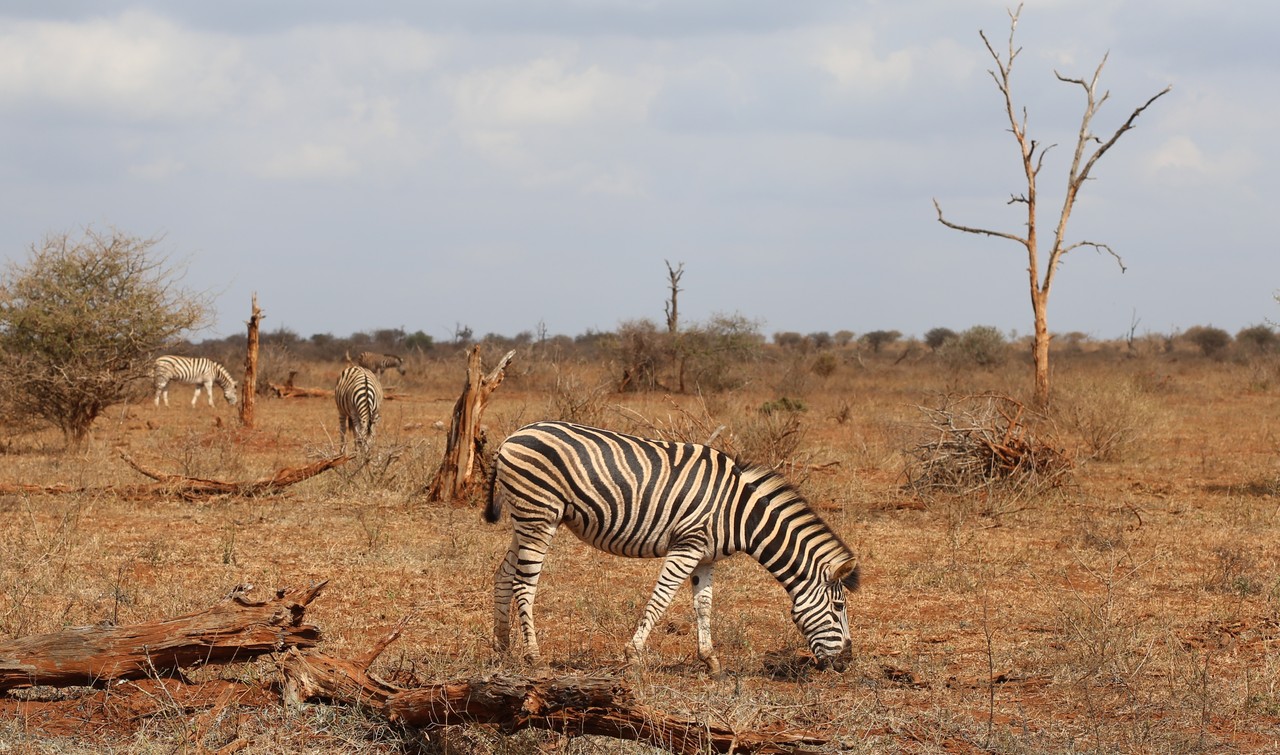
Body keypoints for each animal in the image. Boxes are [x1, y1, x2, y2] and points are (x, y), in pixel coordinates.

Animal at [485, 420, 860, 676]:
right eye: (839, 606)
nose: (847, 661)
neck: (740, 513)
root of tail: (511, 437)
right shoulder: (687, 545)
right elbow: (661, 598)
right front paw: (633, 654)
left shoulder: (706, 556)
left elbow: (704, 605)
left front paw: (710, 661)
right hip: (540, 516)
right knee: (524, 583)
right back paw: (533, 656)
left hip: (526, 518)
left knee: (503, 575)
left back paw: (502, 647)